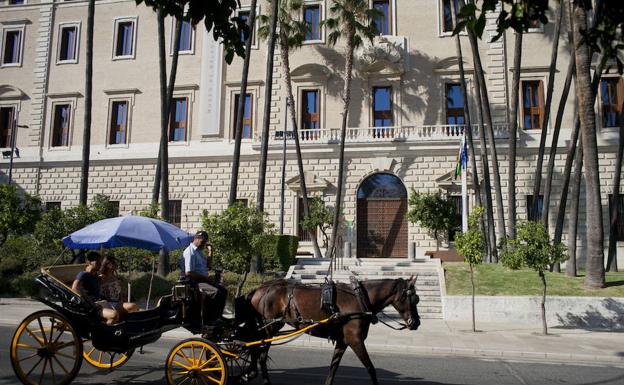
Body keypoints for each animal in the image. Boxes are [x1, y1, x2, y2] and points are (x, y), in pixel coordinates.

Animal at [241, 276, 422, 384]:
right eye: (412, 298)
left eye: (417, 299)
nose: (416, 323)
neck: (360, 299)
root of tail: (260, 289)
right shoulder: (355, 341)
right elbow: (371, 368)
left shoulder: (343, 341)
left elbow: (333, 368)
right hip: (269, 327)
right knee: (260, 354)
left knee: (257, 351)